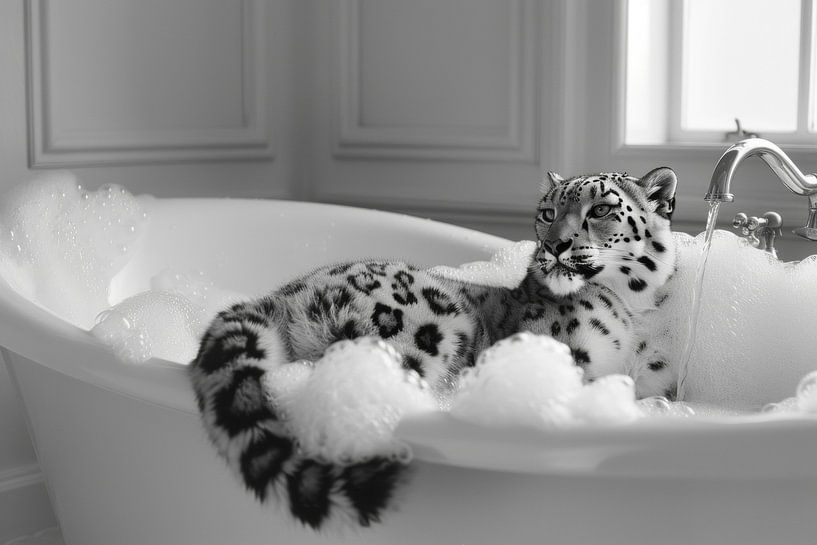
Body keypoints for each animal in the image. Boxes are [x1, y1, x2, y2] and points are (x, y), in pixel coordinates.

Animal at [188, 167, 679, 530]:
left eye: (601, 209)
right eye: (547, 211)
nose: (554, 245)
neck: (636, 317)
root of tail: (287, 292)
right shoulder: (564, 362)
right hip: (430, 326)